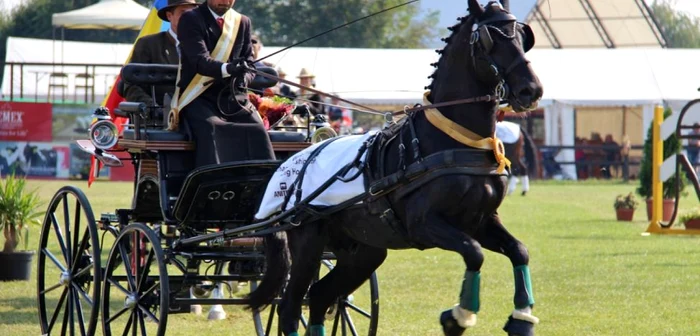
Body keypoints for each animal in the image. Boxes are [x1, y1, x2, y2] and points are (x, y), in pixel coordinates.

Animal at [249, 1, 544, 334]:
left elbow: (519, 250)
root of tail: (288, 167)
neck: (454, 140)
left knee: (321, 296)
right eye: (489, 39)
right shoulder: (425, 224)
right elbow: (473, 252)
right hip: (308, 243)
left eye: (523, 36)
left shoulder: (480, 220)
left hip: (363, 251)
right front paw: (458, 316)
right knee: (290, 305)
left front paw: (521, 318)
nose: (531, 90)